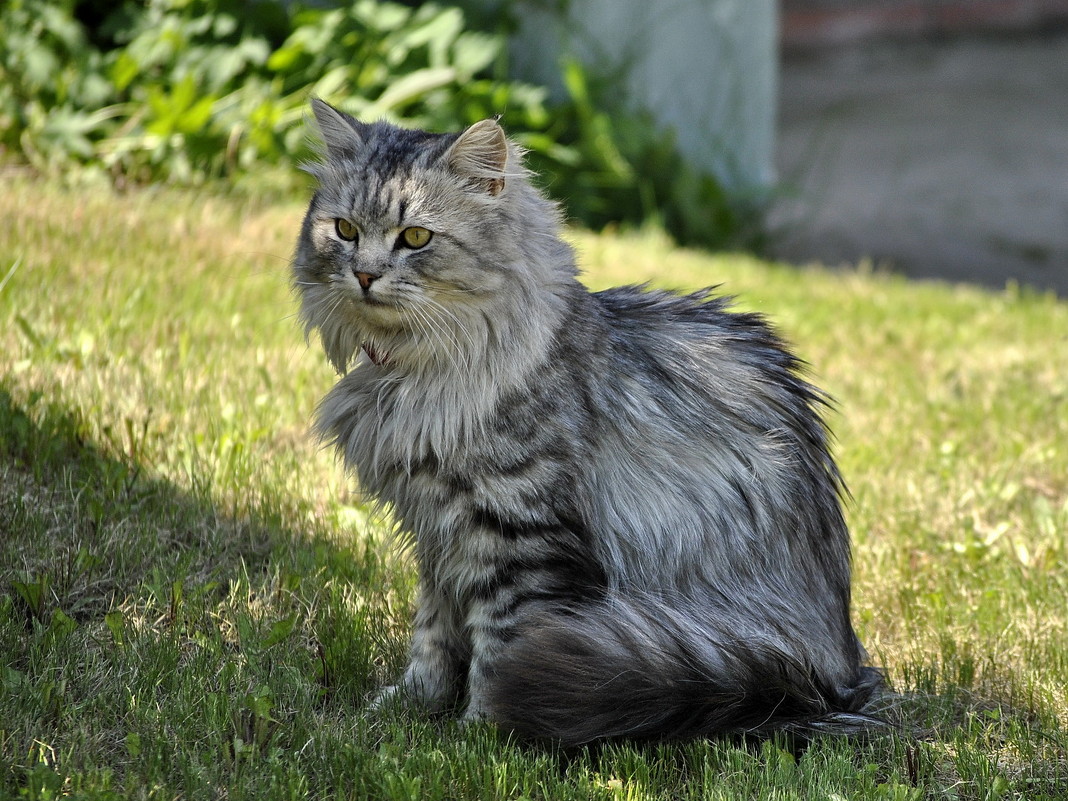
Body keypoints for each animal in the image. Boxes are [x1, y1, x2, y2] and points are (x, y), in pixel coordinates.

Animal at [288, 98, 880, 747]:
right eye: (345, 230)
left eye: (415, 237)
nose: (365, 275)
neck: (415, 373)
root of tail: (838, 665)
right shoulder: (438, 532)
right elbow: (433, 638)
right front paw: (402, 712)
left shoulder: (518, 537)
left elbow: (499, 649)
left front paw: (479, 735)